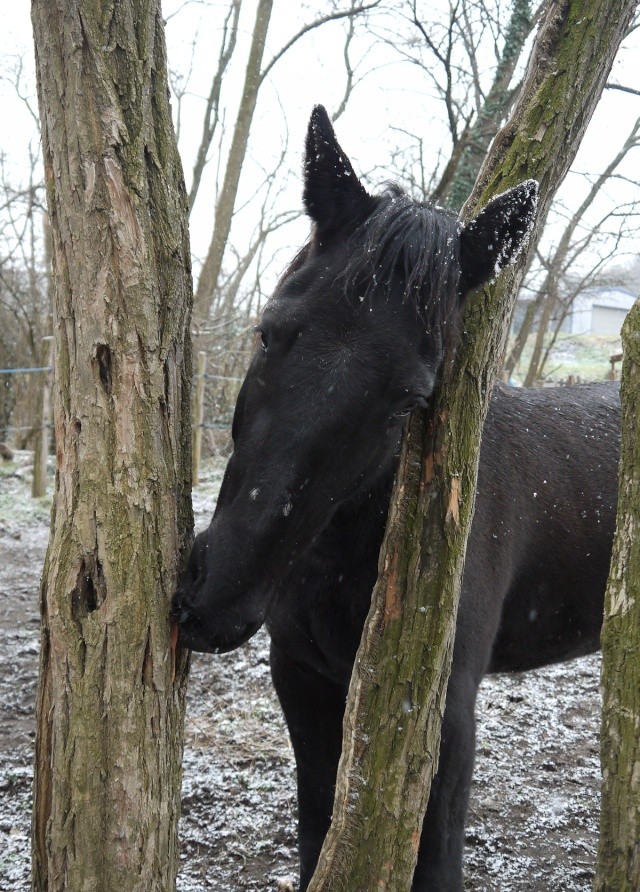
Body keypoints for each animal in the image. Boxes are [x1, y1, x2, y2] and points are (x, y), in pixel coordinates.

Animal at [174, 108, 620, 888]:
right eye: (269, 331)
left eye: (409, 399)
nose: (219, 596)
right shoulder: (303, 679)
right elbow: (318, 832)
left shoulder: (440, 714)